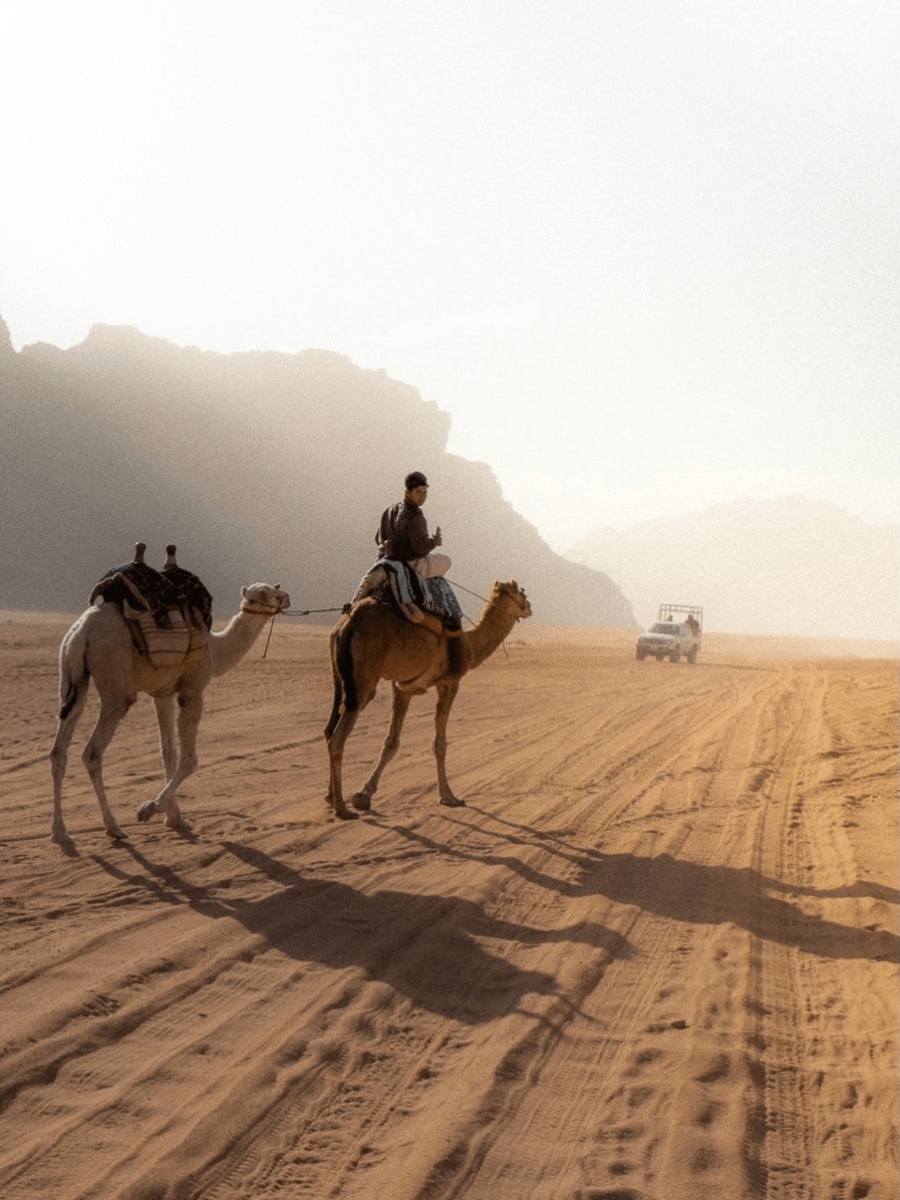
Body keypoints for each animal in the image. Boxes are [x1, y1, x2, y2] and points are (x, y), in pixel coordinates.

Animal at [49, 580, 292, 844]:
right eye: (271, 594)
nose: (287, 597)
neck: (216, 650)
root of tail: (81, 632)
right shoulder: (192, 690)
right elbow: (189, 760)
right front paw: (149, 809)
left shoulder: (163, 693)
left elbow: (168, 752)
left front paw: (175, 817)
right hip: (115, 682)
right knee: (93, 752)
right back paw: (113, 826)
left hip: (71, 675)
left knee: (59, 751)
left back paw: (60, 832)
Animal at [326, 576, 532, 820]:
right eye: (521, 592)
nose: (529, 607)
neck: (469, 645)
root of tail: (346, 626)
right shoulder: (449, 682)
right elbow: (439, 743)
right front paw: (449, 796)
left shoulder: (403, 689)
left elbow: (391, 742)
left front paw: (363, 795)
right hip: (363, 680)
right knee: (338, 737)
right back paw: (342, 808)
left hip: (342, 682)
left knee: (329, 729)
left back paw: (330, 796)